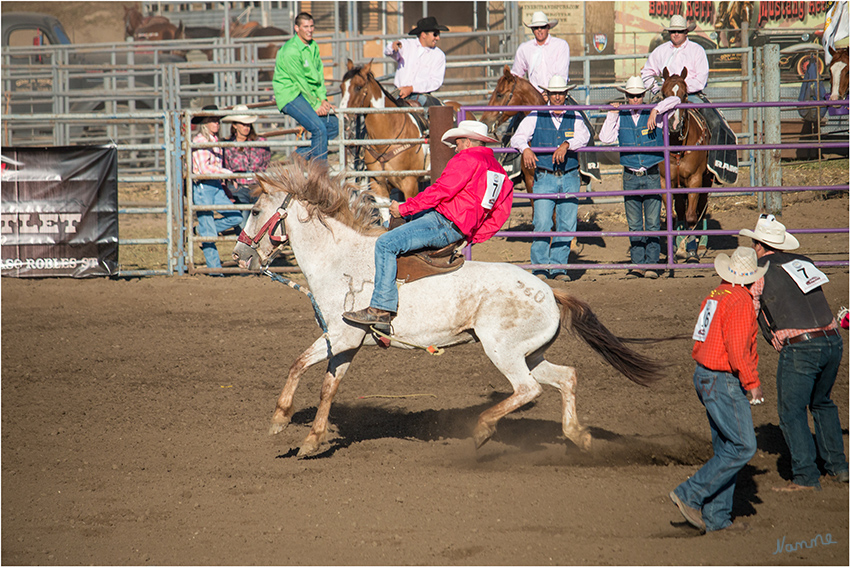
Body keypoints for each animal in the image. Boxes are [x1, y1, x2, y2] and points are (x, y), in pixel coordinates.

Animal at [232, 158, 664, 460]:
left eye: (254, 210)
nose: (239, 256)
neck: (340, 260)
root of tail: (550, 290)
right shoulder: (348, 343)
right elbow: (327, 386)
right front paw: (310, 441)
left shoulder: (340, 334)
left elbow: (298, 365)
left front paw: (279, 420)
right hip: (531, 352)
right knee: (566, 378)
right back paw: (579, 436)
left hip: (503, 351)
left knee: (528, 389)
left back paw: (483, 429)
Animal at [660, 67, 712, 262]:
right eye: (663, 94)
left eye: (684, 95)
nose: (674, 125)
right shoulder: (666, 181)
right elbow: (673, 214)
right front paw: (675, 251)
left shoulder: (695, 179)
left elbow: (691, 216)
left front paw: (691, 252)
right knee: (681, 210)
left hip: (707, 179)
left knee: (701, 207)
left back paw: (701, 245)